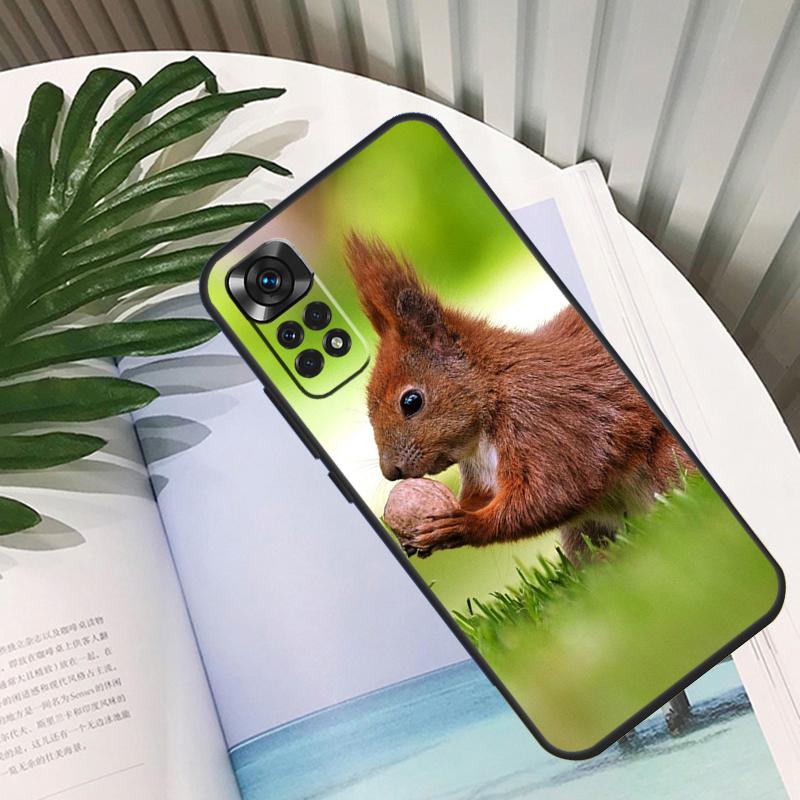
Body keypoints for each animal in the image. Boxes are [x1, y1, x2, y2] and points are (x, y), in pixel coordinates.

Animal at [344, 233, 694, 561]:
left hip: (667, 462)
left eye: (411, 401)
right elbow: (483, 497)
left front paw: (462, 525)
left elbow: (553, 491)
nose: (391, 472)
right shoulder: (483, 472)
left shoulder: (548, 422)